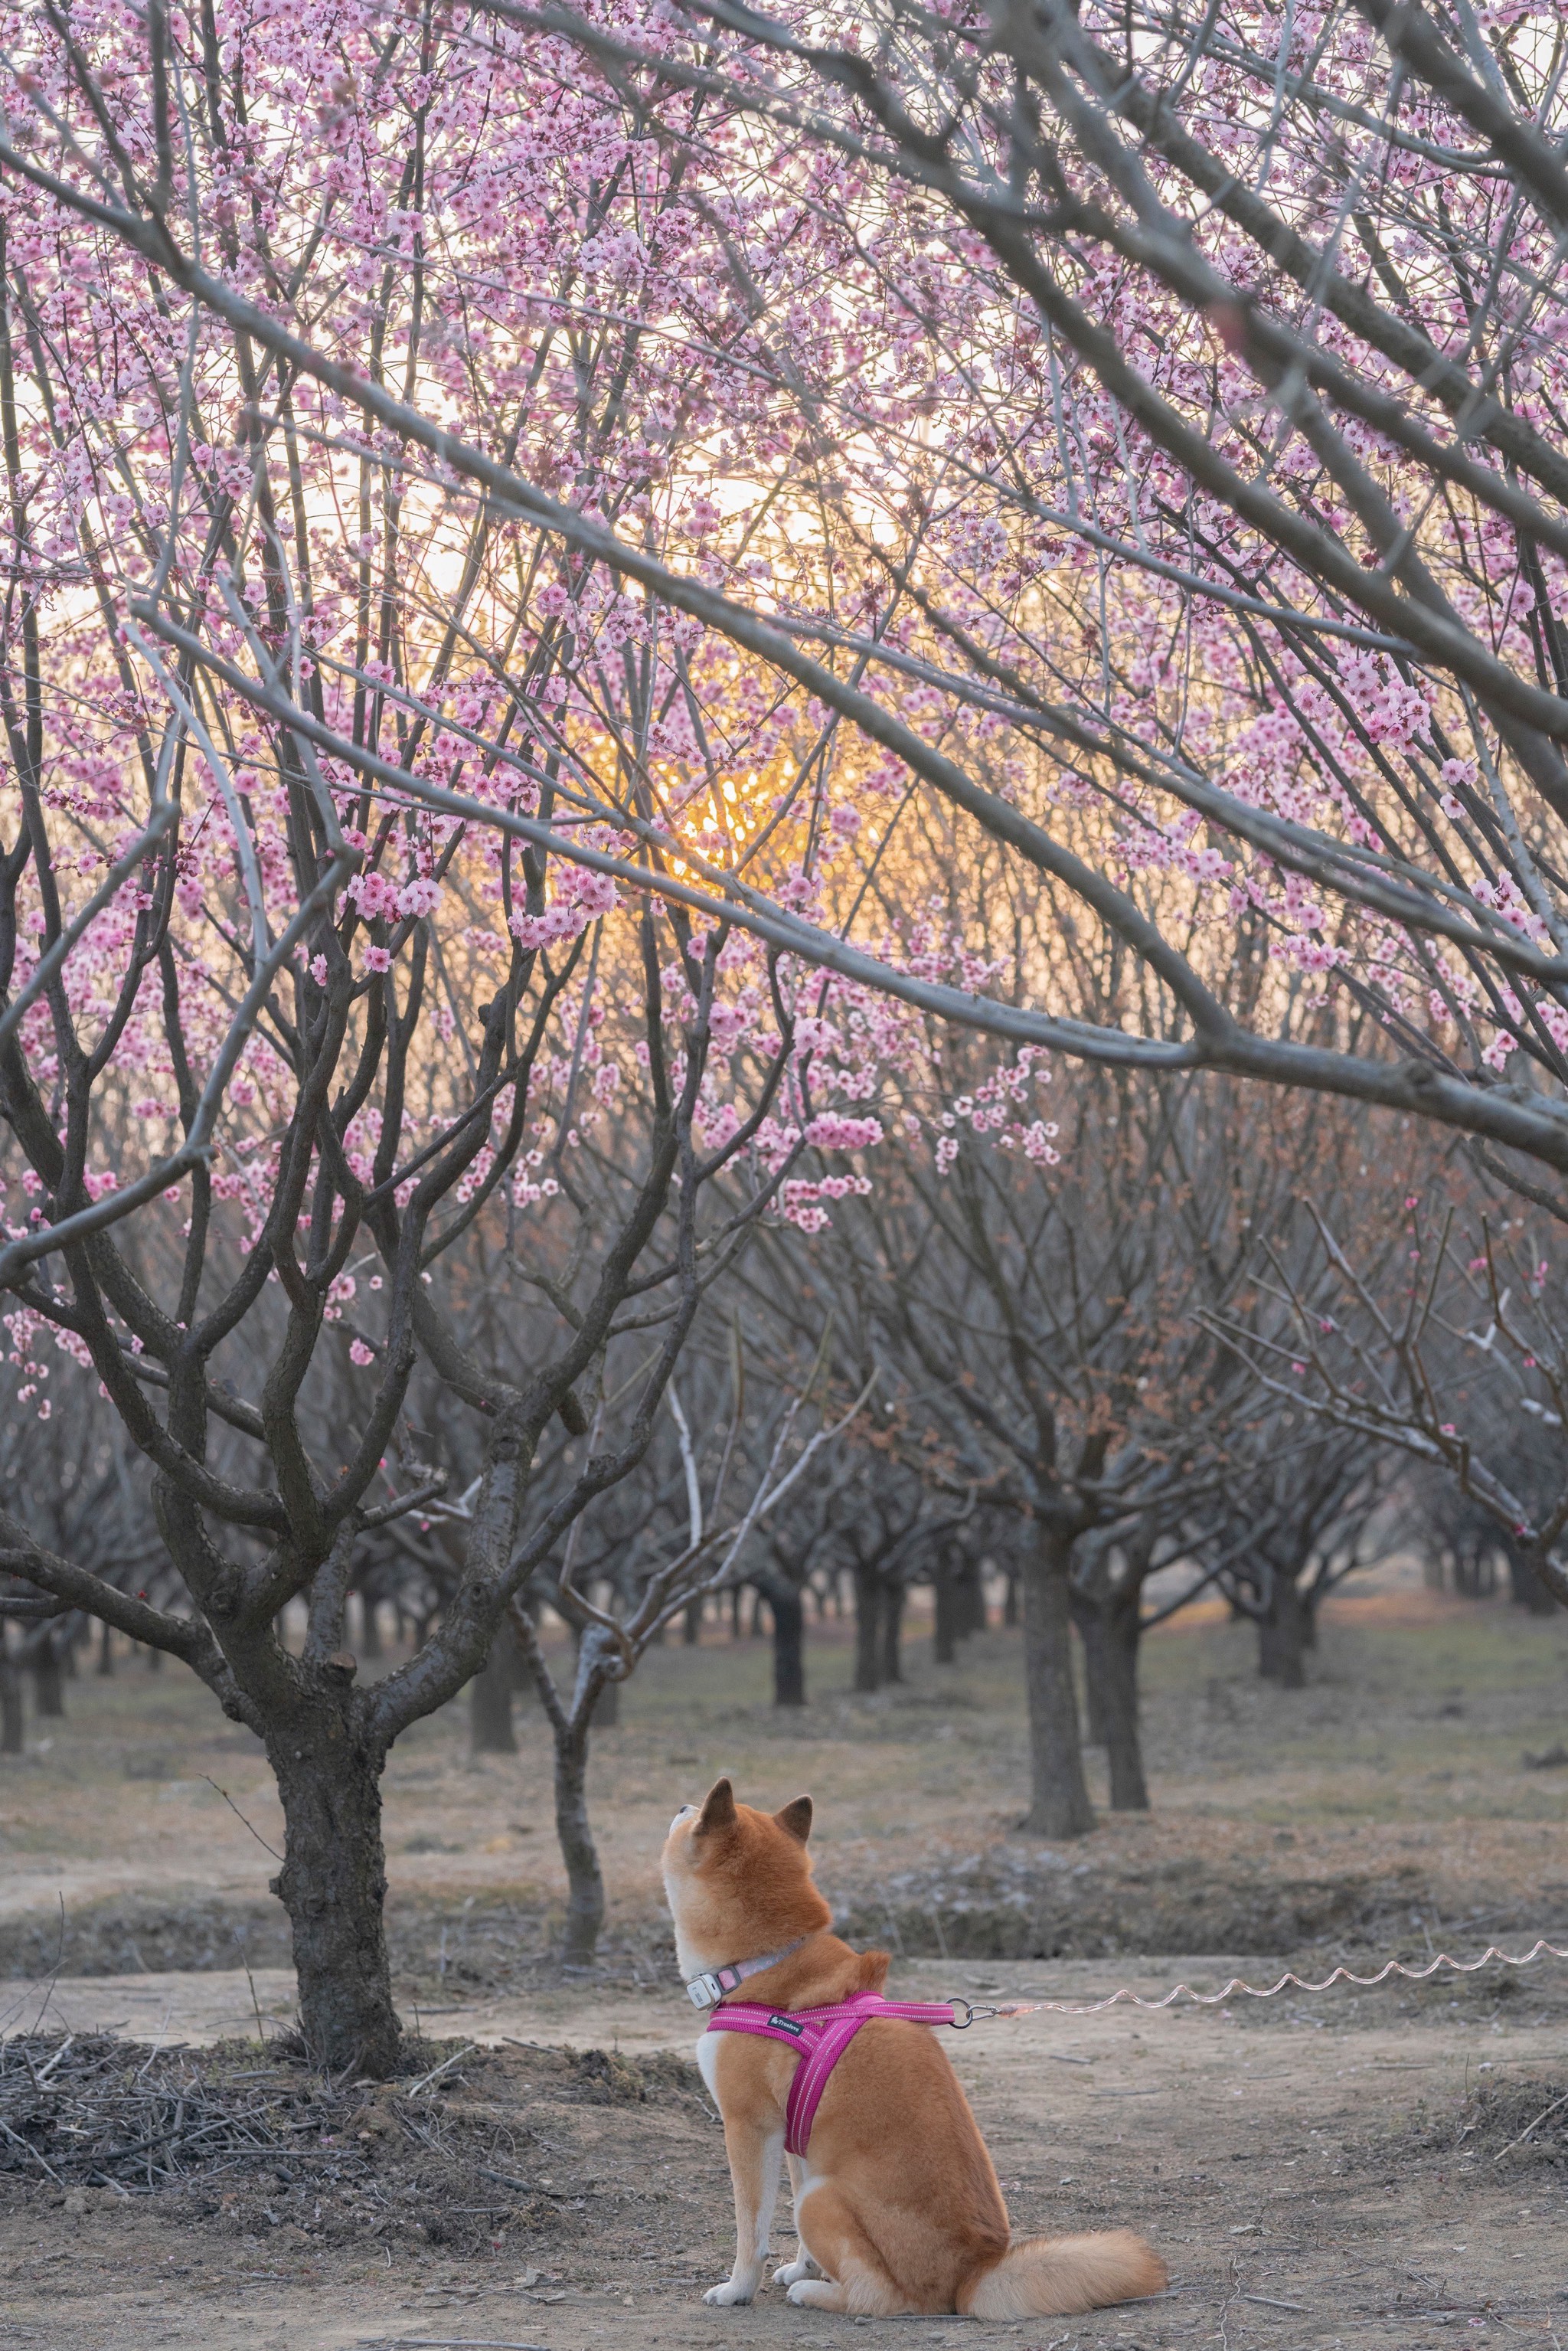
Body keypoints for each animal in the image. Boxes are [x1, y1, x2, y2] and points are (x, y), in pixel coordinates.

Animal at [662, 1777, 1165, 2313]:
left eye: (692, 1815)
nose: (681, 1803)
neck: (764, 1962)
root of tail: (971, 2275)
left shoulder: (748, 2127)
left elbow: (750, 2232)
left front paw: (739, 2289)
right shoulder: (795, 2137)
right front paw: (801, 2265)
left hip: (822, 2200)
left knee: (880, 2297)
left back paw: (816, 2293)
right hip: (818, 2180)